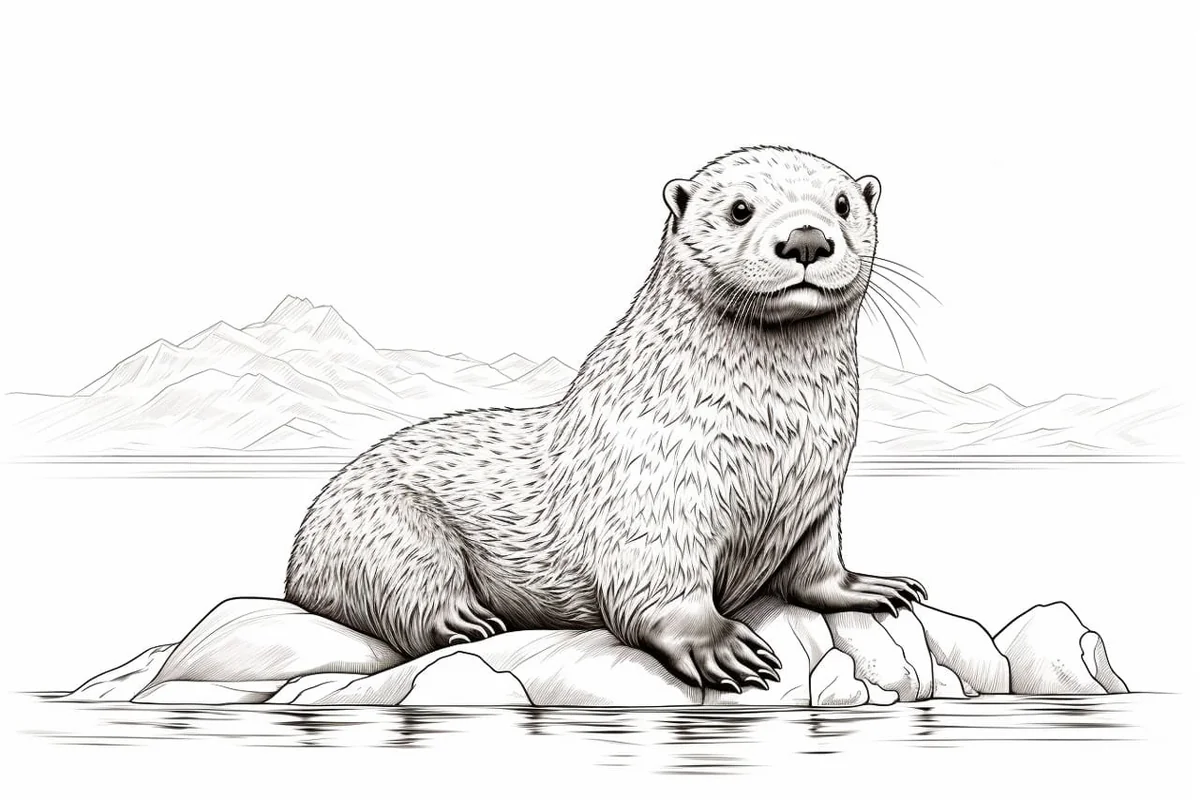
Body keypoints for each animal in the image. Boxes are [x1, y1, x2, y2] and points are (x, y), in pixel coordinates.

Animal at [285, 145, 926, 693]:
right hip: (378, 529)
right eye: (740, 209)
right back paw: (463, 621)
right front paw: (721, 646)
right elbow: (656, 582)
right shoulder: (653, 486)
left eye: (843, 204)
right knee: (405, 591)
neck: (773, 443)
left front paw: (872, 587)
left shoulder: (817, 493)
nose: (806, 238)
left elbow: (816, 569)